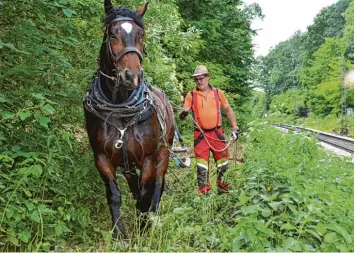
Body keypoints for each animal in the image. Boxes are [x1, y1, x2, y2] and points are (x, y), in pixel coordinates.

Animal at [84, 0, 177, 238]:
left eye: (141, 34)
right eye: (112, 34)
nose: (132, 76)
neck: (119, 107)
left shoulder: (148, 159)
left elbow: (145, 194)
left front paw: (143, 228)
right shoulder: (102, 158)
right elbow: (114, 195)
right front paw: (119, 233)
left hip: (164, 152)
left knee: (158, 184)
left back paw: (153, 216)